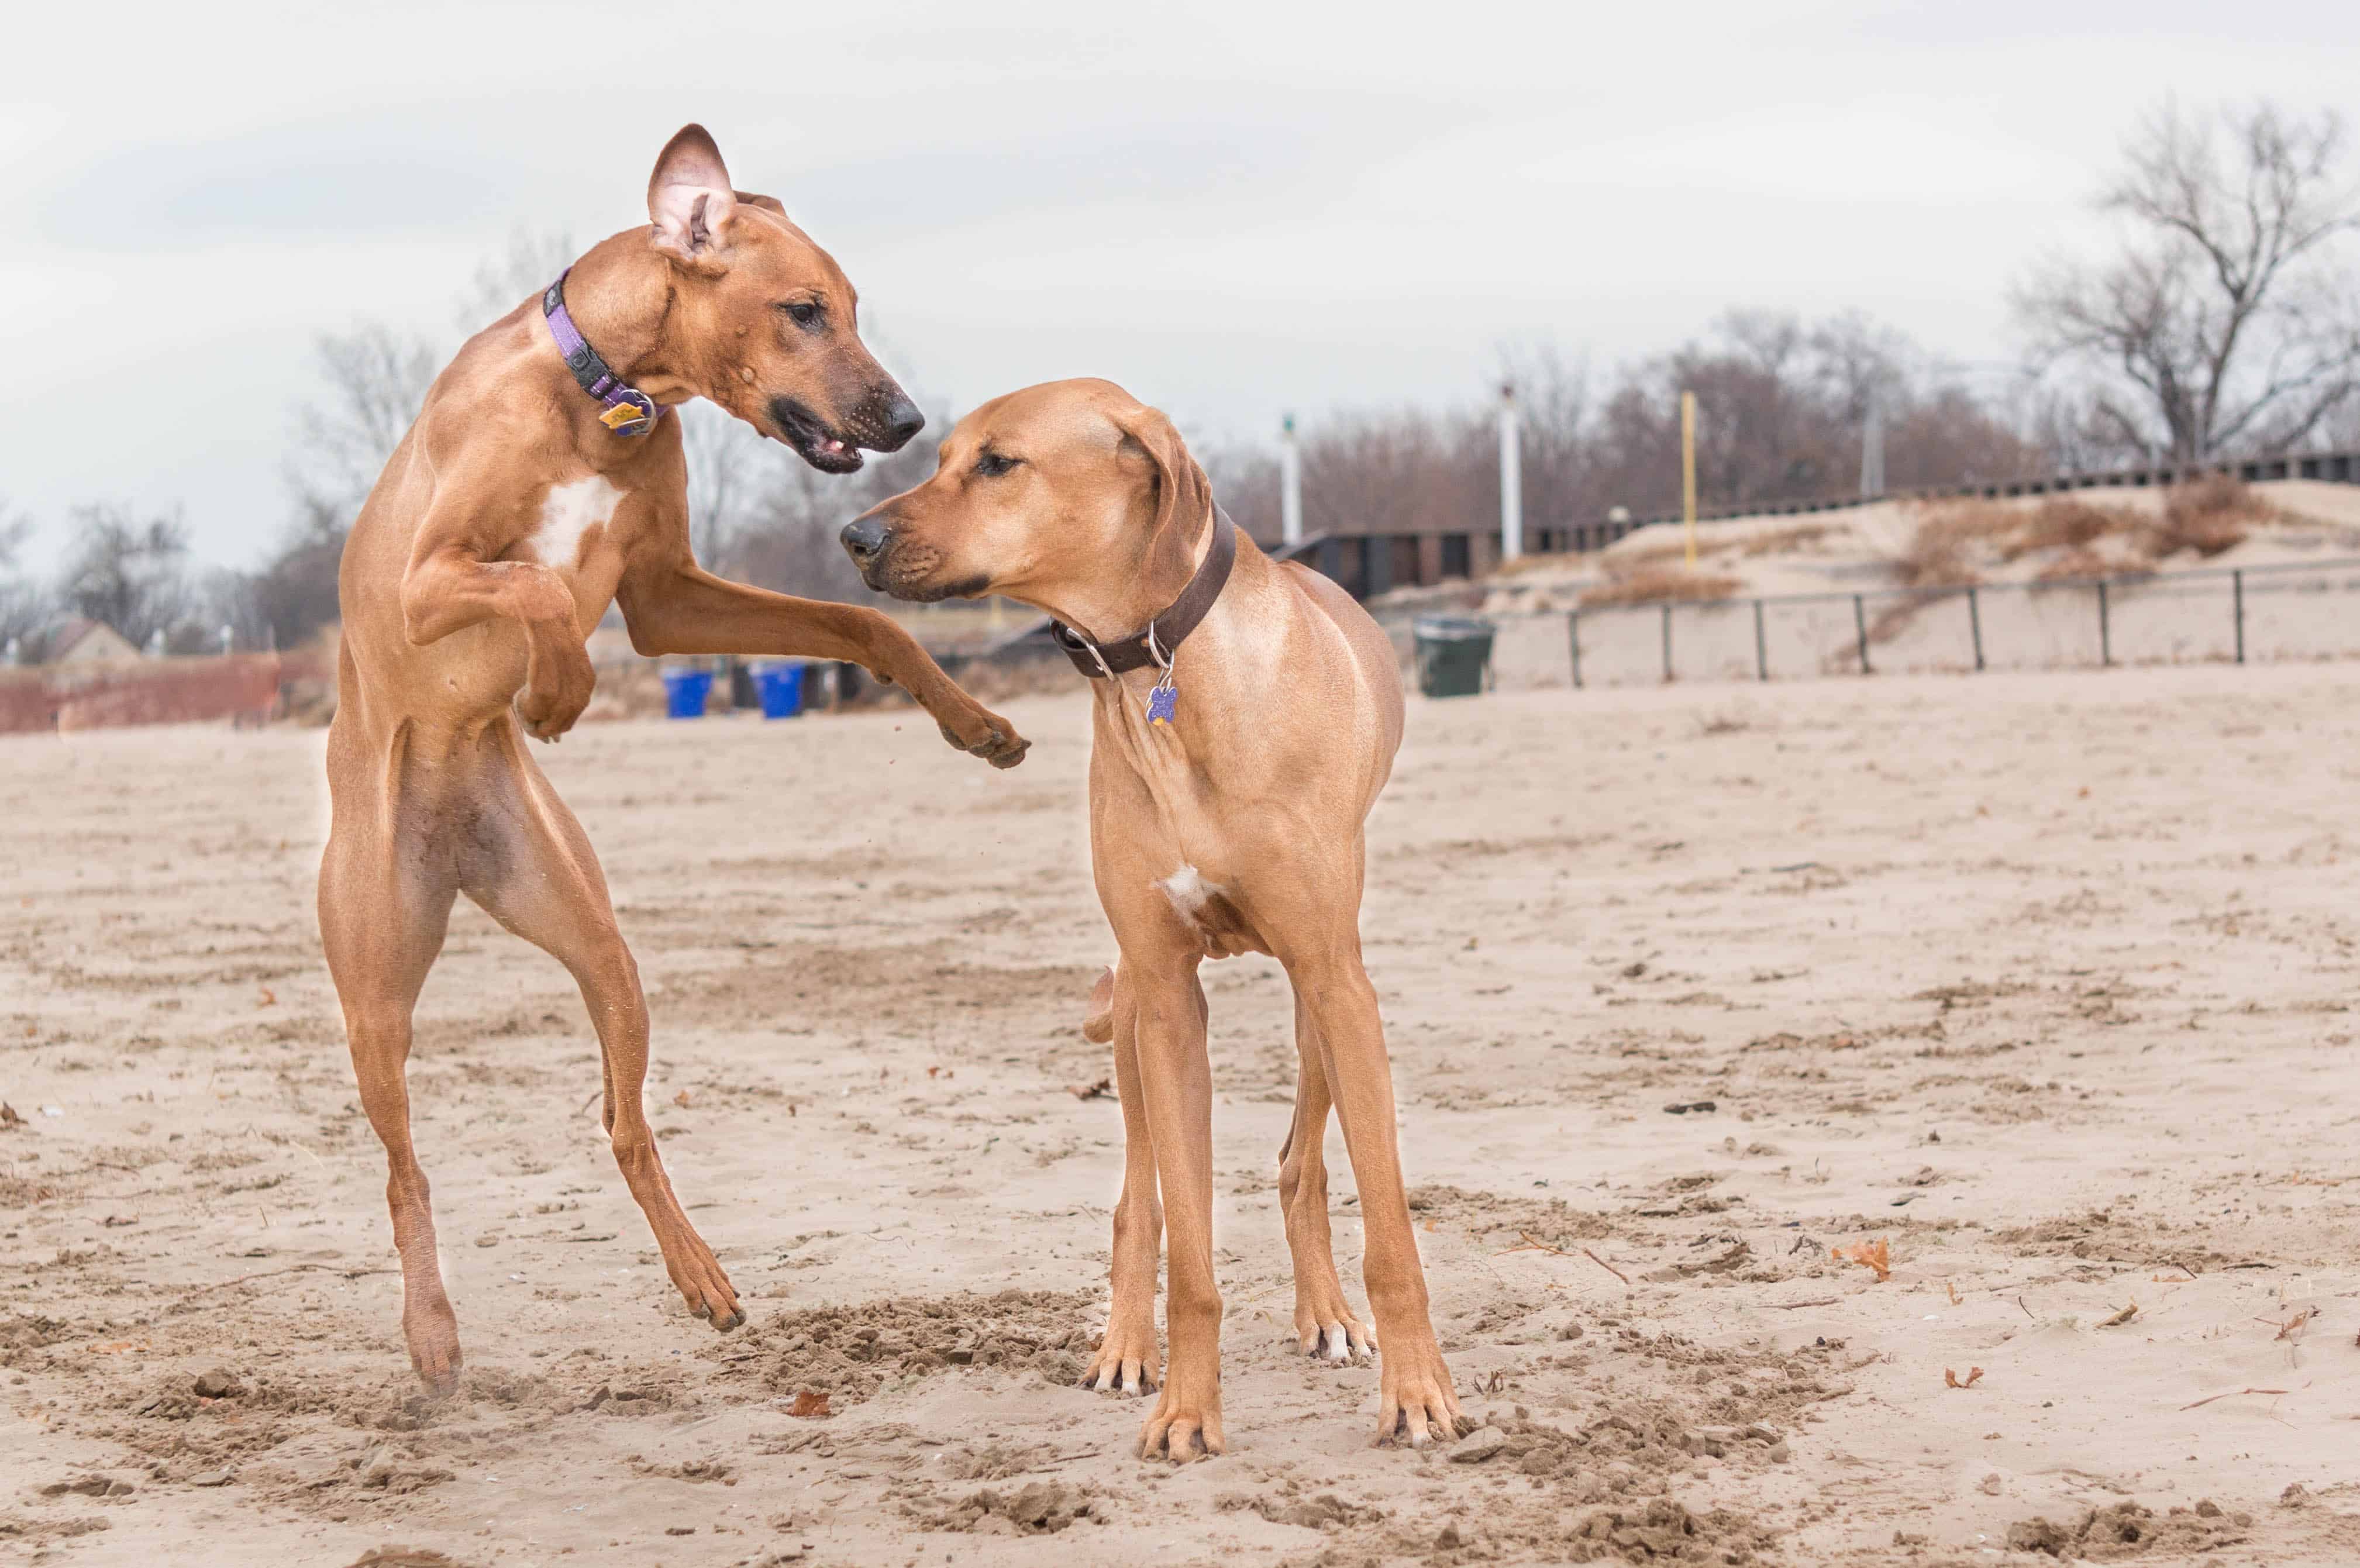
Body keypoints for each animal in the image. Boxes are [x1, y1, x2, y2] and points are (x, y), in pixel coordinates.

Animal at [318, 126, 1019, 1398]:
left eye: (851, 306)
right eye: (803, 309)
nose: (904, 418)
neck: (604, 395)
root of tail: (453, 855)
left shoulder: (663, 596)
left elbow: (862, 622)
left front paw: (975, 721)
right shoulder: (429, 575)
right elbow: (537, 583)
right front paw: (556, 690)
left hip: (598, 943)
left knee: (625, 1123)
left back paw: (699, 1273)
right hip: (374, 995)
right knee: (405, 1169)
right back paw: (432, 1332)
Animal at [840, 380, 1463, 1455]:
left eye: (997, 463)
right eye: (941, 454)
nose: (853, 536)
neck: (1159, 674)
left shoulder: (1335, 977)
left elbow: (1387, 1229)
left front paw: (1419, 1393)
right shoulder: (1167, 995)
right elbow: (1187, 1244)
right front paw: (1184, 1409)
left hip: (1316, 1001)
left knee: (1301, 1164)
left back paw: (1327, 1313)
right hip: (1133, 1009)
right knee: (1141, 1196)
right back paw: (1128, 1340)